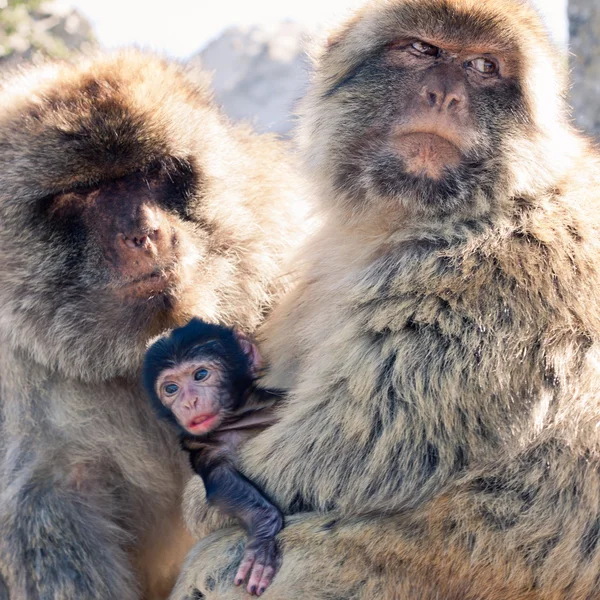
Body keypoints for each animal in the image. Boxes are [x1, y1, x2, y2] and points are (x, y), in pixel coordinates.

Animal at [145, 318, 286, 596]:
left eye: (200, 375)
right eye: (171, 388)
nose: (189, 402)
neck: (239, 417)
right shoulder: (204, 447)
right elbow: (220, 478)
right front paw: (263, 534)